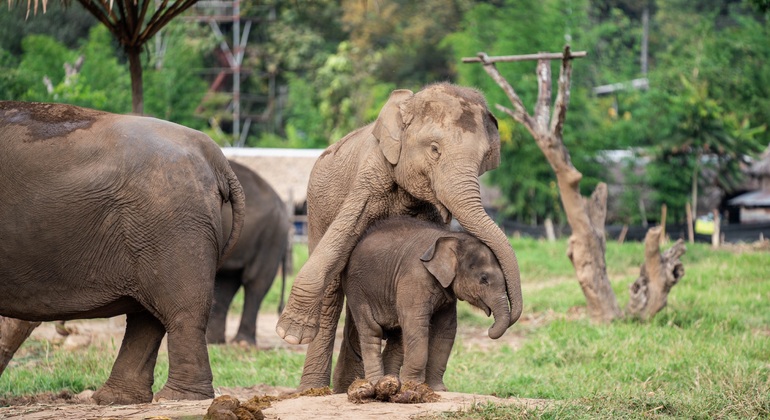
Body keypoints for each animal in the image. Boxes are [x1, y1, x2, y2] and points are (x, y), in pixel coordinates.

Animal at [0, 101, 245, 405]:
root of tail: (214, 155)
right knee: (148, 315)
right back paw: (114, 399)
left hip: (171, 227)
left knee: (179, 311)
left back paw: (175, 398)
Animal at [335, 217, 508, 392]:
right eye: (484, 279)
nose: (490, 329)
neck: (451, 237)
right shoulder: (414, 277)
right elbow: (415, 323)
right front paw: (413, 386)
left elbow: (446, 329)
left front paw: (439, 390)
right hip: (357, 291)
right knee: (372, 330)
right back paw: (378, 383)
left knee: (397, 337)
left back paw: (390, 384)